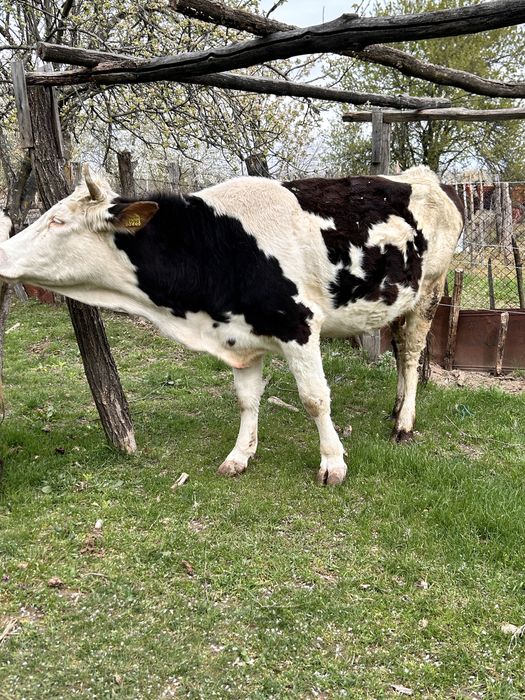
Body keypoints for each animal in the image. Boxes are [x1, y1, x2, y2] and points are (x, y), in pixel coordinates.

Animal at [0, 165, 463, 485]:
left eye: (57, 221)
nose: (2, 255)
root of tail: (421, 177)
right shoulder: (240, 337)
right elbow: (246, 400)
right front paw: (241, 455)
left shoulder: (299, 326)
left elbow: (315, 399)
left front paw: (333, 462)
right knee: (400, 351)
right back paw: (396, 408)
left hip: (429, 292)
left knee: (409, 354)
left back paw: (404, 422)